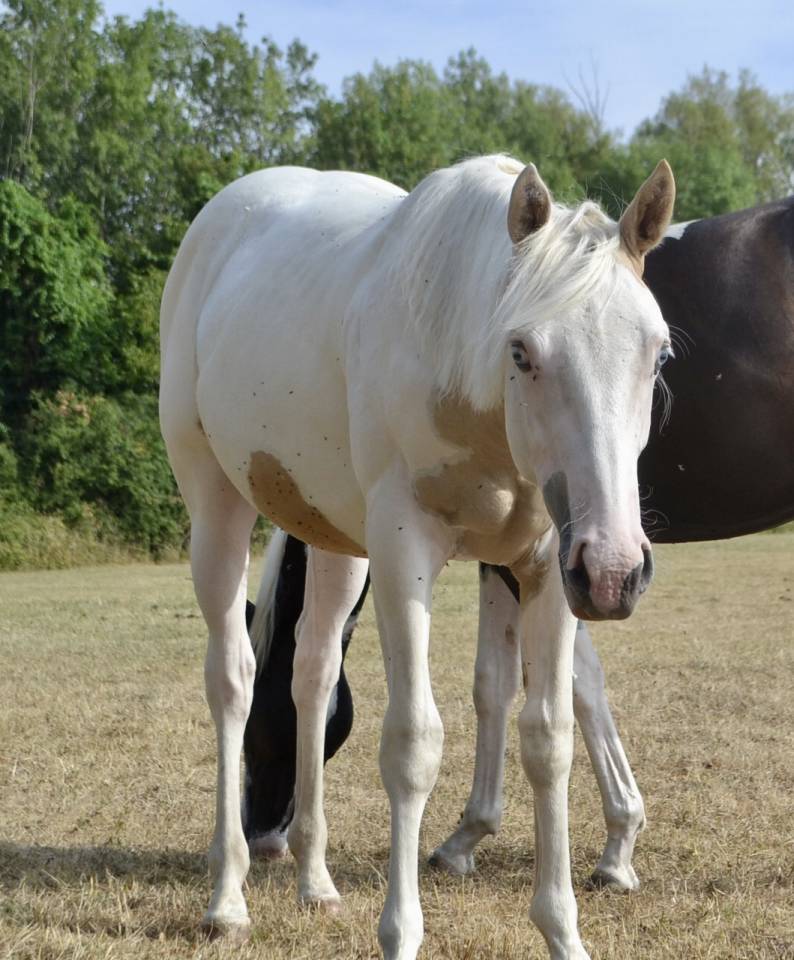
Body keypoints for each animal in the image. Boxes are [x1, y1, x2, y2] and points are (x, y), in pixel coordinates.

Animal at [160, 154, 675, 959]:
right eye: (522, 352)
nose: (616, 572)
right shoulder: (407, 554)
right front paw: (400, 933)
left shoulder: (548, 569)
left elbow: (549, 738)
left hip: (340, 546)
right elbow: (413, 744)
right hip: (215, 504)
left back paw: (315, 880)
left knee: (312, 675)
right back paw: (228, 897)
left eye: (657, 352)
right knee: (233, 679)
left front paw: (563, 930)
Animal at [241, 194, 794, 898]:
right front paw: (474, 835)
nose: (260, 837)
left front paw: (616, 842)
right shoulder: (515, 556)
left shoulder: (556, 560)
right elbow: (497, 682)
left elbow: (570, 681)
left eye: (263, 728)